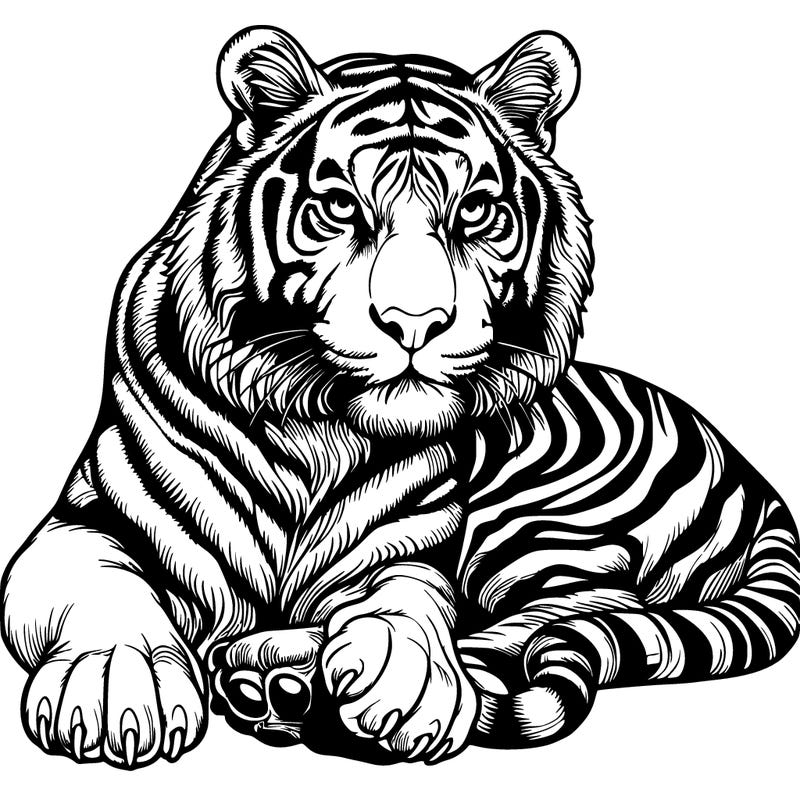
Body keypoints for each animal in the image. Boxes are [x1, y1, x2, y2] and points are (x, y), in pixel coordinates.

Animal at [2, 25, 798, 770]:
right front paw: (115, 687)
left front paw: (403, 678)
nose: (415, 321)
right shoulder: (83, 523)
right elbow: (103, 589)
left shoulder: (411, 543)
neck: (313, 431)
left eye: (476, 213)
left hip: (545, 521)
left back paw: (285, 682)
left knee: (563, 620)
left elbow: (410, 598)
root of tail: (757, 483)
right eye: (337, 210)